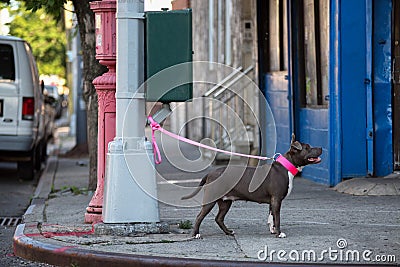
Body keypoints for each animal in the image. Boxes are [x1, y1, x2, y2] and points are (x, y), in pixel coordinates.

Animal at [181, 135, 322, 240]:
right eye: (307, 147)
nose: (321, 147)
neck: (286, 167)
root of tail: (210, 173)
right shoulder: (276, 199)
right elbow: (277, 218)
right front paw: (279, 233)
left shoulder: (273, 201)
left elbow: (271, 217)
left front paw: (273, 230)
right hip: (211, 200)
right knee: (200, 216)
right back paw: (196, 234)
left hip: (226, 202)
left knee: (219, 218)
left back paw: (228, 232)